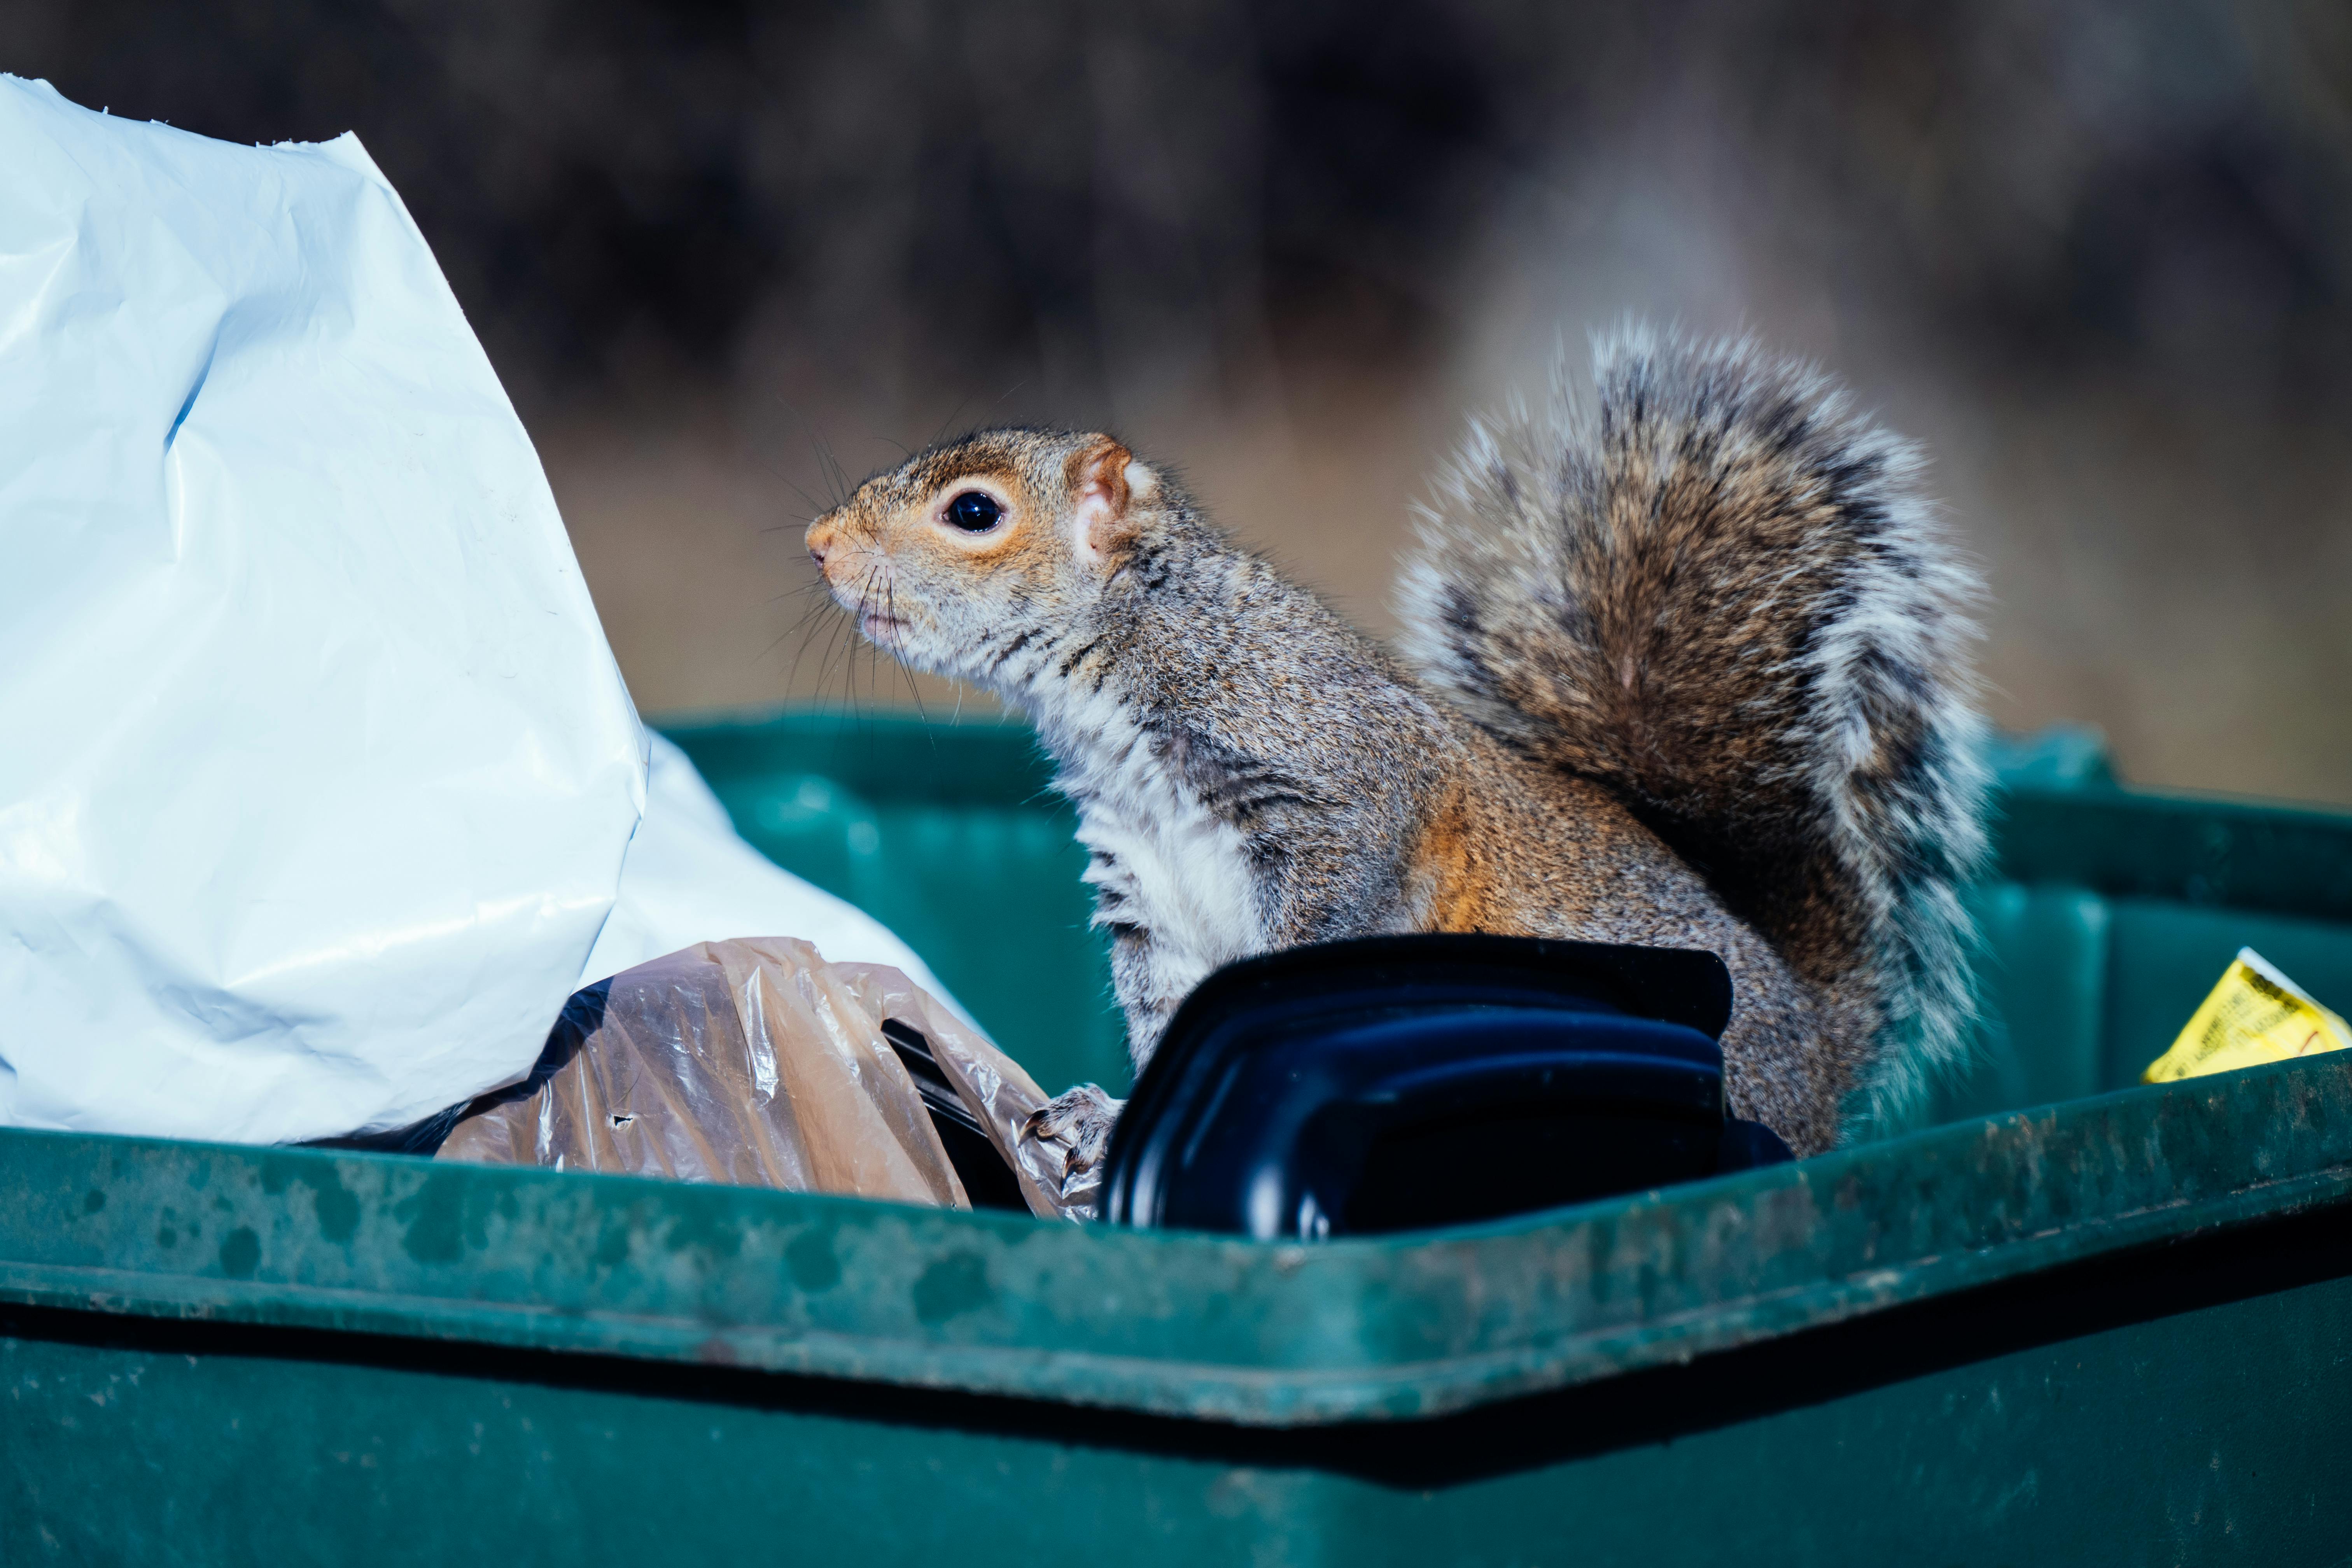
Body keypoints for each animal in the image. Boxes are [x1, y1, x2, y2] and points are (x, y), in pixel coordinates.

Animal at [804, 328, 1988, 1193]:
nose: (818, 544)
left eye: (973, 512)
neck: (1123, 674)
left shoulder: (1334, 795)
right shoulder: (1146, 890)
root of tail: (1822, 1051)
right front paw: (1108, 1121)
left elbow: (1303, 937)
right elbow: (1164, 1016)